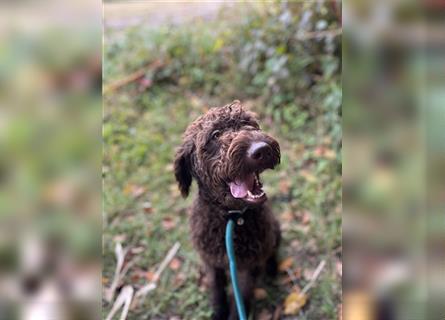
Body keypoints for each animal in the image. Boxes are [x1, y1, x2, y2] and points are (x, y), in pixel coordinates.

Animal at [174, 100, 280, 320]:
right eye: (215, 135)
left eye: (249, 124)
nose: (262, 149)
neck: (232, 219)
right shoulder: (211, 261)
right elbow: (216, 288)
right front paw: (218, 311)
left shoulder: (248, 266)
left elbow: (243, 294)